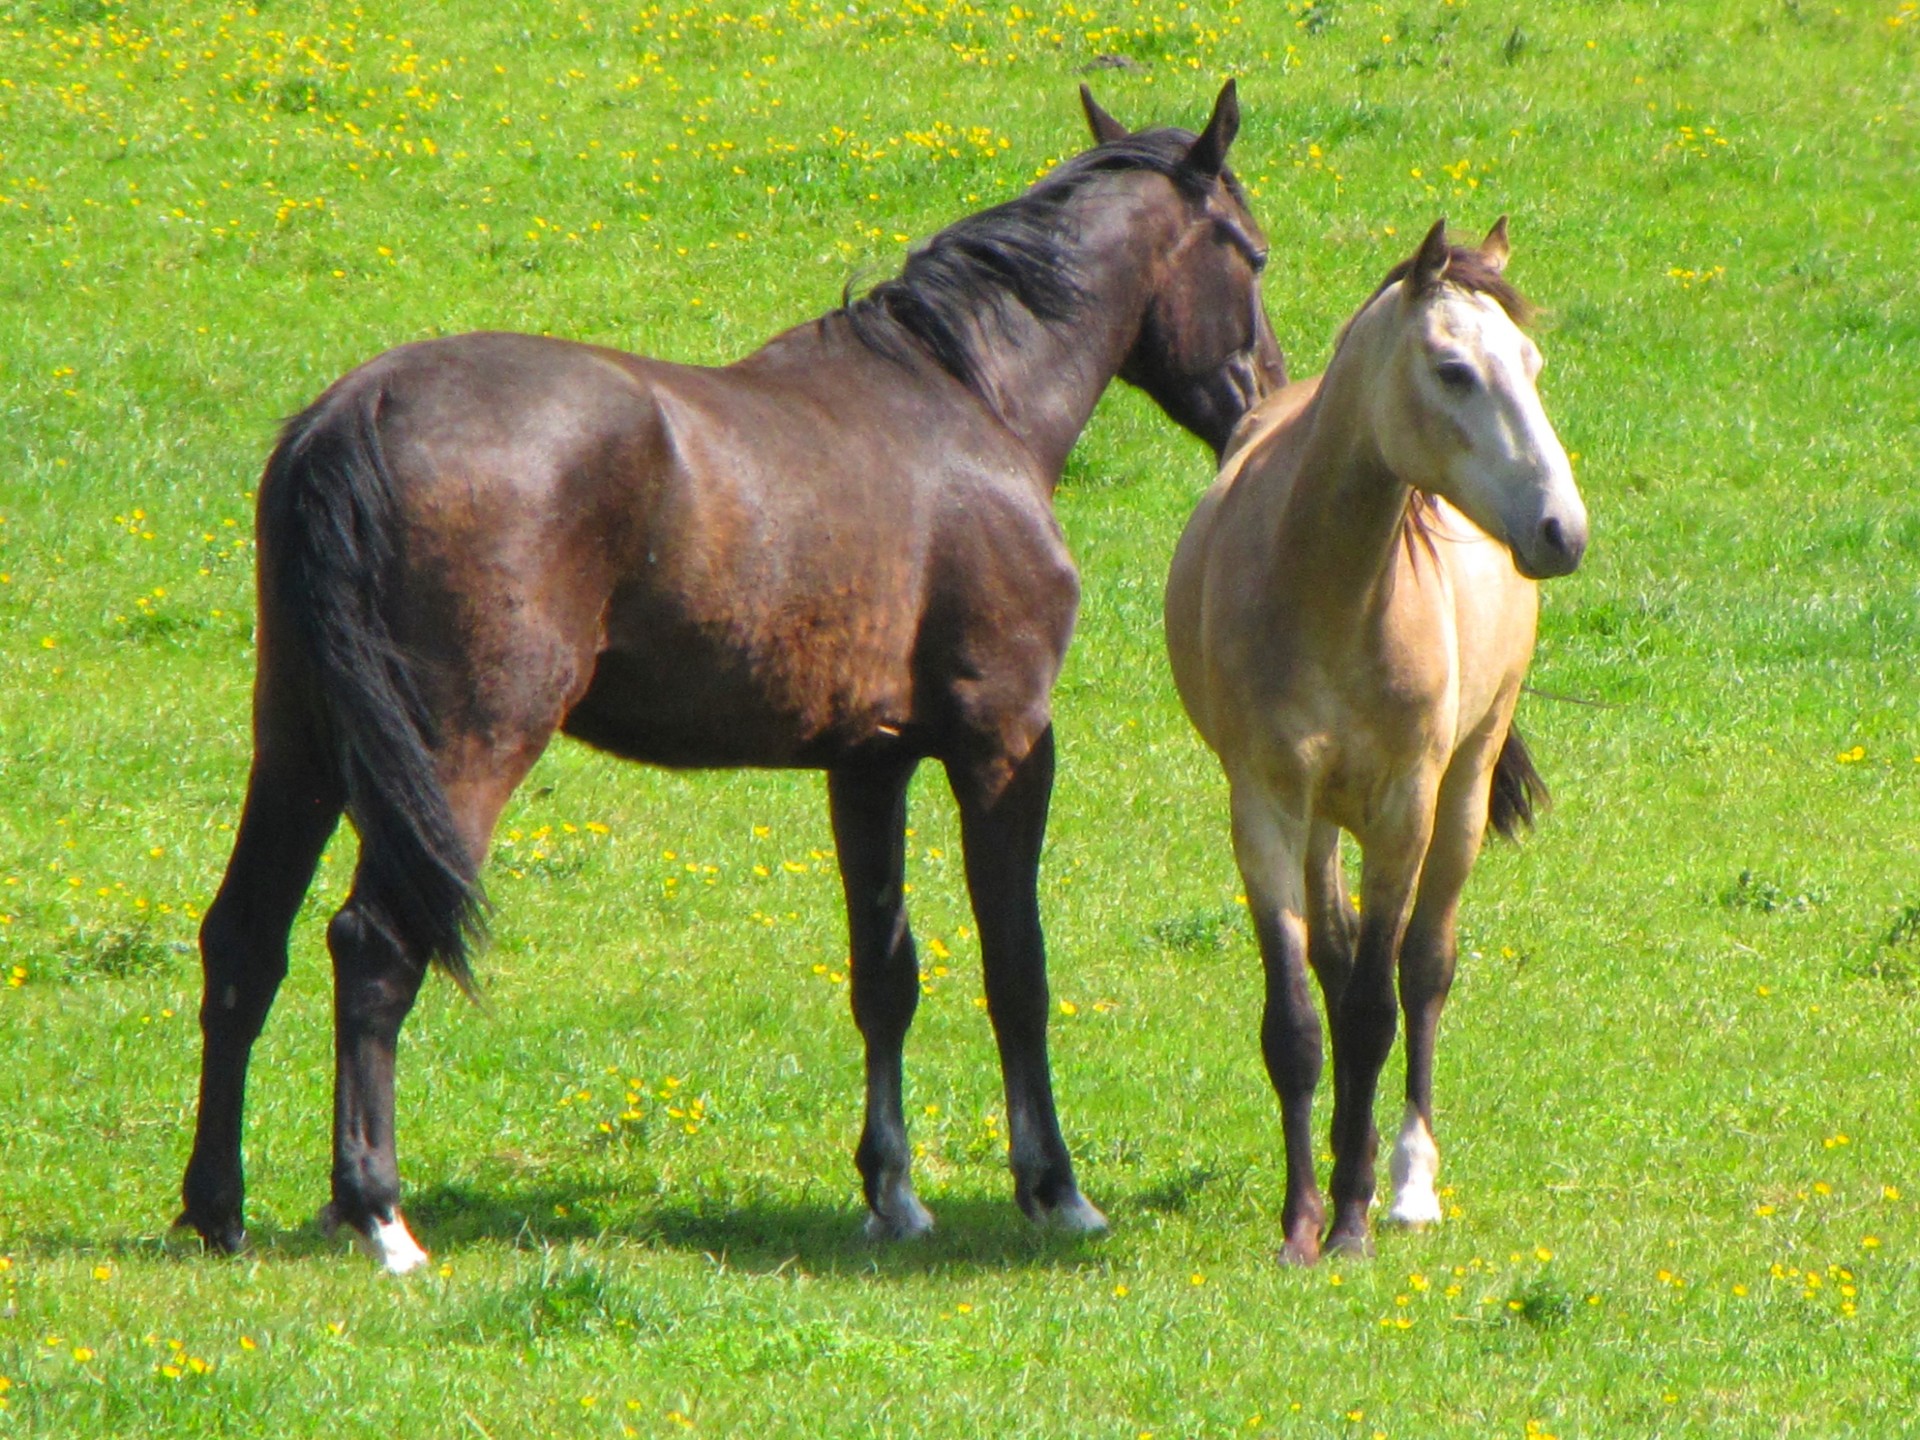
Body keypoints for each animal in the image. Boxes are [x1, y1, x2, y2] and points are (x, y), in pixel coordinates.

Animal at [183, 81, 1290, 1274]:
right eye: (1252, 253)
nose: (1262, 408)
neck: (962, 403)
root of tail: (357, 412)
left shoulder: (870, 764)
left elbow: (884, 974)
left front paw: (891, 1194)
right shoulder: (1001, 744)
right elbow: (1016, 969)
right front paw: (1054, 1189)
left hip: (301, 743)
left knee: (243, 941)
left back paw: (216, 1210)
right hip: (457, 753)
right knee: (374, 949)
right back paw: (379, 1214)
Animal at [1159, 219, 1582, 1267]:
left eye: (1532, 364)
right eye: (1453, 370)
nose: (1563, 530)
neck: (1331, 590)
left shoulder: (1403, 807)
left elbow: (1377, 1008)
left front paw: (1351, 1216)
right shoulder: (1266, 808)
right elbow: (1300, 1019)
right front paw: (1301, 1221)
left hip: (1462, 792)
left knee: (1424, 968)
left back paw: (1408, 1185)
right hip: (1321, 822)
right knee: (1339, 955)